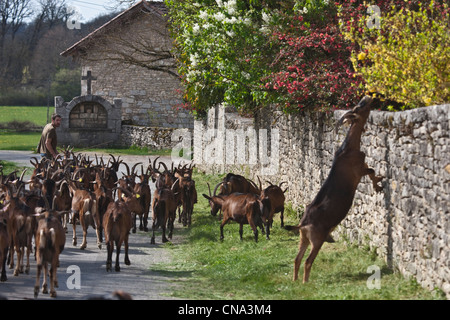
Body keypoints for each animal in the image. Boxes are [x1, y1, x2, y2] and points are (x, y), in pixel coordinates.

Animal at [288, 95, 384, 282]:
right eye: (358, 107)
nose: (367, 97)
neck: (349, 147)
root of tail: (303, 224)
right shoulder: (358, 170)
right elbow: (371, 171)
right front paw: (379, 184)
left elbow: (371, 170)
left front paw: (378, 184)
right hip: (317, 239)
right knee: (307, 261)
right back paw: (305, 283)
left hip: (304, 238)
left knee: (297, 259)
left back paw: (295, 281)